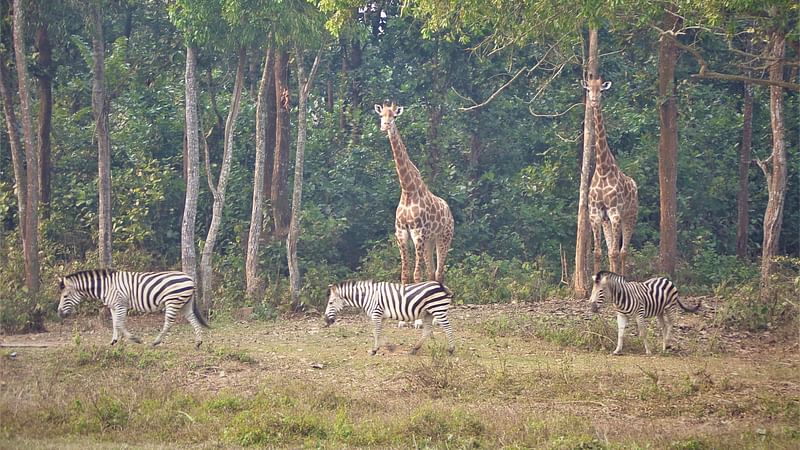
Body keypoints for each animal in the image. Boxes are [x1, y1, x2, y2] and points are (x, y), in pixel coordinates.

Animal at [58, 270, 209, 348]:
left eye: (65, 296)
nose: (59, 313)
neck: (107, 286)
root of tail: (190, 278)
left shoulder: (121, 304)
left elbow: (119, 324)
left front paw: (135, 339)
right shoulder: (113, 306)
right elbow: (115, 324)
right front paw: (114, 341)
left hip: (173, 301)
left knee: (169, 322)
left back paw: (156, 341)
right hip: (185, 303)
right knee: (192, 318)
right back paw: (198, 342)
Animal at [322, 282, 454, 356]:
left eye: (330, 303)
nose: (326, 320)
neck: (367, 297)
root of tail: (441, 285)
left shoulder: (376, 313)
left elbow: (376, 332)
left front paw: (374, 350)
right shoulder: (382, 316)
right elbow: (379, 332)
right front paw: (389, 347)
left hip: (438, 309)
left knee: (448, 328)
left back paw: (451, 350)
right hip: (428, 313)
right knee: (427, 331)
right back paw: (414, 350)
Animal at [374, 103, 454, 284]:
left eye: (394, 116)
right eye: (381, 115)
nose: (385, 126)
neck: (407, 190)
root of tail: (449, 211)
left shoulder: (419, 233)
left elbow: (417, 276)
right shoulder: (401, 233)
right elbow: (405, 275)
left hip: (444, 237)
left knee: (439, 273)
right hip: (430, 241)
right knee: (432, 273)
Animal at [580, 75, 636, 276]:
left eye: (601, 90)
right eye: (588, 89)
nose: (594, 101)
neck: (603, 169)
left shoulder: (615, 212)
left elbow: (615, 252)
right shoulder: (596, 214)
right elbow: (598, 252)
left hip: (630, 215)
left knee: (623, 251)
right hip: (607, 221)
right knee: (614, 250)